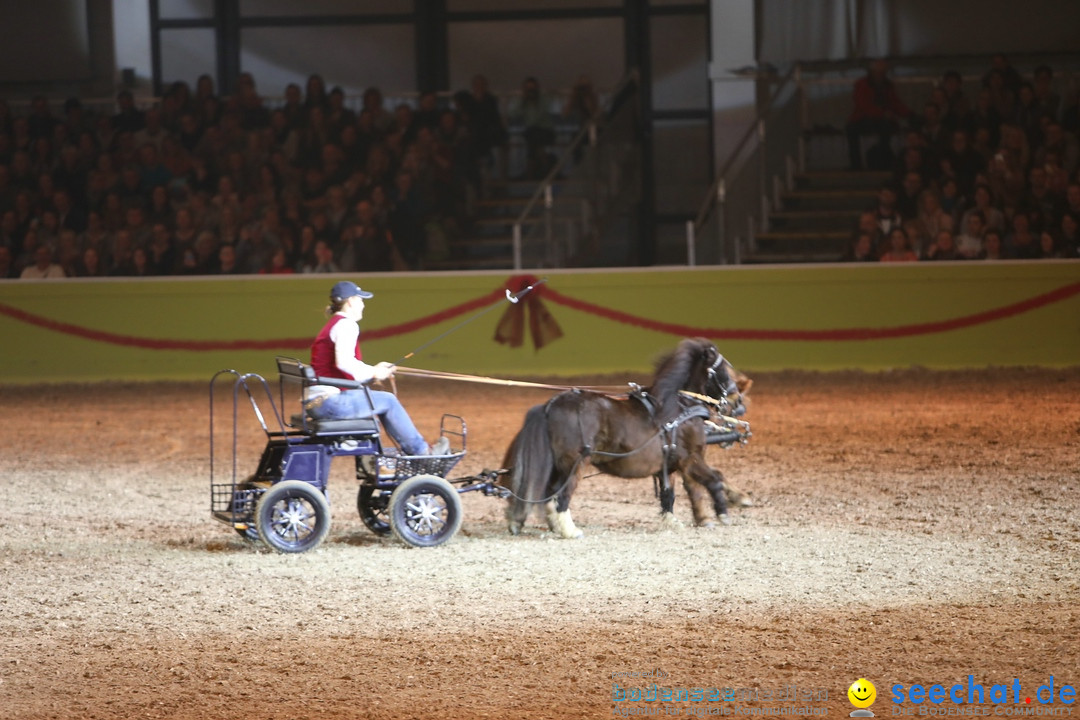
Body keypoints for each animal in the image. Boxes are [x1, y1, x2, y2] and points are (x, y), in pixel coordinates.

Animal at [498, 341, 747, 537]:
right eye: (724, 370)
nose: (739, 403)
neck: (680, 407)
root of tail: (552, 404)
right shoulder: (691, 458)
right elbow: (714, 478)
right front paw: (723, 512)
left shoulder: (669, 464)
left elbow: (668, 495)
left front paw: (672, 521)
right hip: (575, 463)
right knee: (561, 494)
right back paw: (569, 530)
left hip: (557, 464)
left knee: (547, 492)